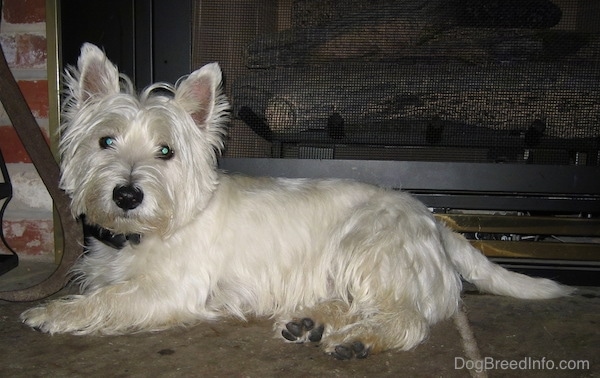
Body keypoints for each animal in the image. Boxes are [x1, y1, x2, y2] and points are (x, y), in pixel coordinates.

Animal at [22, 44, 572, 360]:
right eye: (106, 141)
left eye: (166, 151)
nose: (127, 194)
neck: (149, 231)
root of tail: (435, 224)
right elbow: (106, 288)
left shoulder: (171, 290)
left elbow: (111, 300)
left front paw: (52, 313)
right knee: (359, 303)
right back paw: (310, 323)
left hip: (366, 246)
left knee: (406, 317)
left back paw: (354, 340)